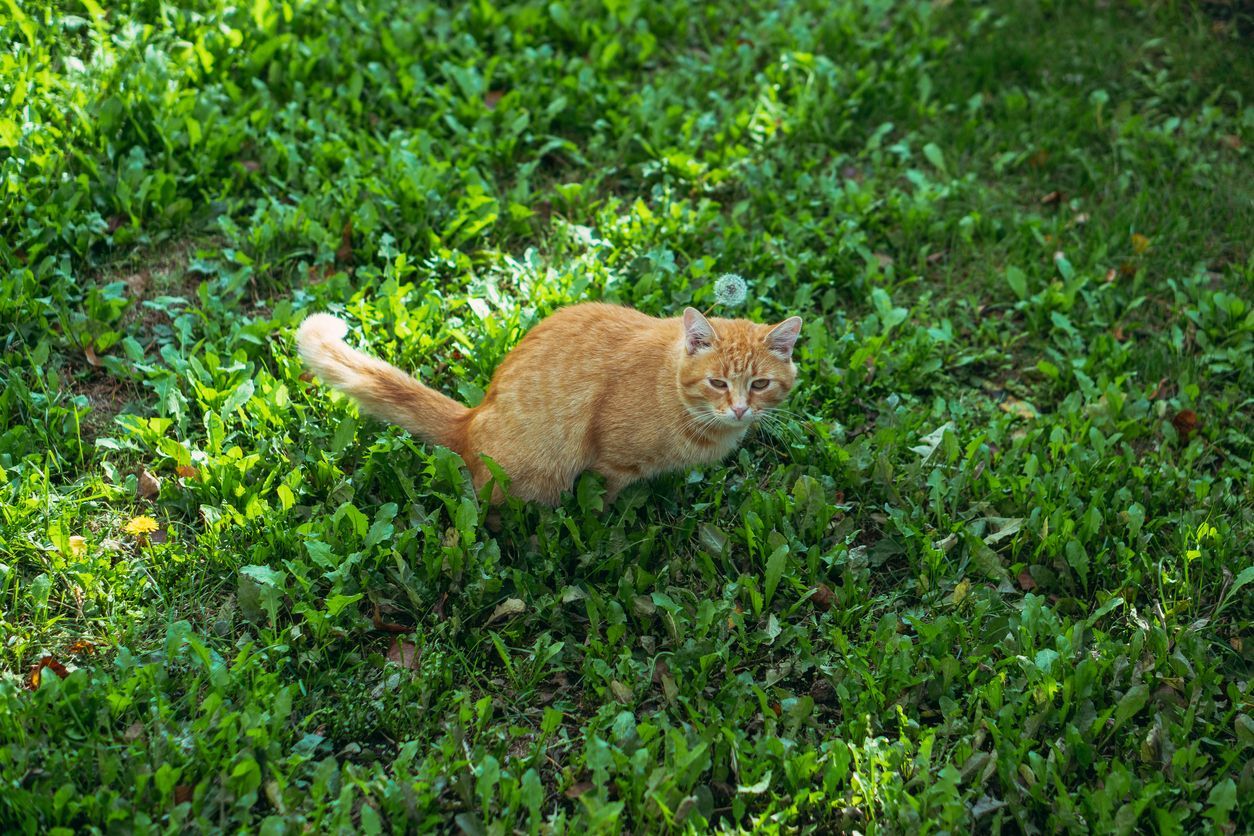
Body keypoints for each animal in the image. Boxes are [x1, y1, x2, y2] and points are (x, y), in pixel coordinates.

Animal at [298, 305, 797, 506]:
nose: (740, 410)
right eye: (717, 383)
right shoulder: (610, 464)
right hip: (537, 481)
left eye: (760, 384)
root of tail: (471, 420)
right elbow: (602, 505)